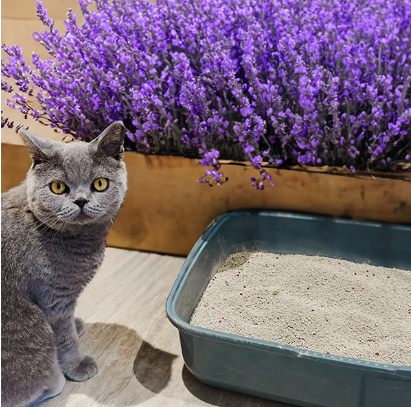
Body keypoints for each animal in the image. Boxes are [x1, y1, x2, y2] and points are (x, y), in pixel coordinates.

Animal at [0, 122, 128, 407]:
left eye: (100, 184)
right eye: (58, 187)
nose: (80, 200)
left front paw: (77, 324)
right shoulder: (54, 300)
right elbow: (64, 337)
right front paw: (78, 365)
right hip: (33, 329)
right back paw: (54, 384)